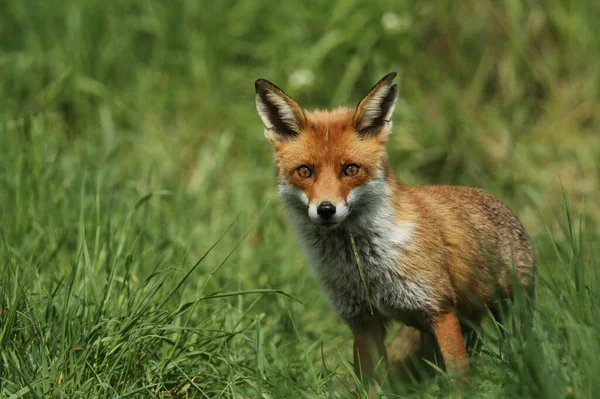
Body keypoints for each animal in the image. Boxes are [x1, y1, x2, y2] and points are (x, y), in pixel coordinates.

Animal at [253, 72, 536, 388]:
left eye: (351, 169)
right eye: (304, 171)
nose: (326, 209)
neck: (364, 266)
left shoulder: (440, 309)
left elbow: (459, 381)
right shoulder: (364, 322)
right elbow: (370, 386)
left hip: (511, 310)